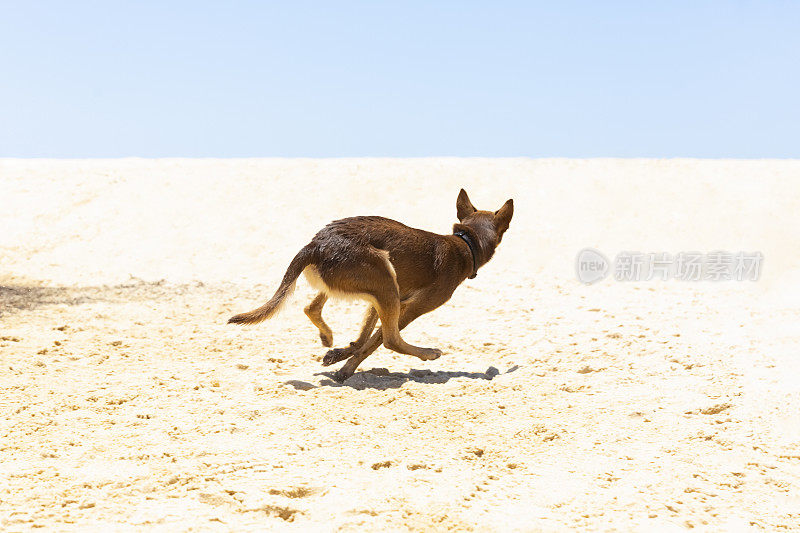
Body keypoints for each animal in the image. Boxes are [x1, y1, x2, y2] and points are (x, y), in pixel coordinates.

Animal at [227, 189, 512, 380]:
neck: (465, 242)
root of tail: (314, 245)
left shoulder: (386, 302)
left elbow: (365, 338)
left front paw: (341, 357)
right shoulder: (410, 307)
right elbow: (377, 341)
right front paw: (346, 368)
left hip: (375, 287)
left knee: (312, 308)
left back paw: (329, 339)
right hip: (385, 278)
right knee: (391, 340)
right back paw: (428, 353)